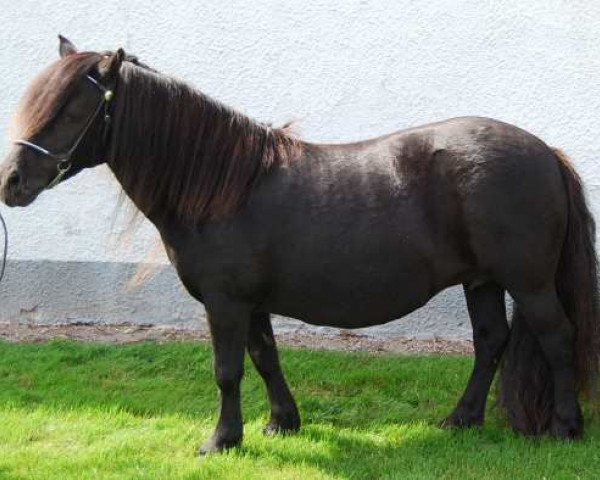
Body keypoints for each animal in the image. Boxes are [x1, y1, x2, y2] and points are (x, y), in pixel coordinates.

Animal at [1, 35, 600, 452]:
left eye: (72, 109)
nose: (11, 182)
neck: (223, 187)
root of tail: (546, 152)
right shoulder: (251, 303)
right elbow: (265, 357)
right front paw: (281, 423)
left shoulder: (225, 302)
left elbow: (227, 370)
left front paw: (221, 440)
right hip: (481, 281)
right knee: (491, 341)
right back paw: (462, 419)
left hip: (529, 282)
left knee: (557, 338)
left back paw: (564, 428)